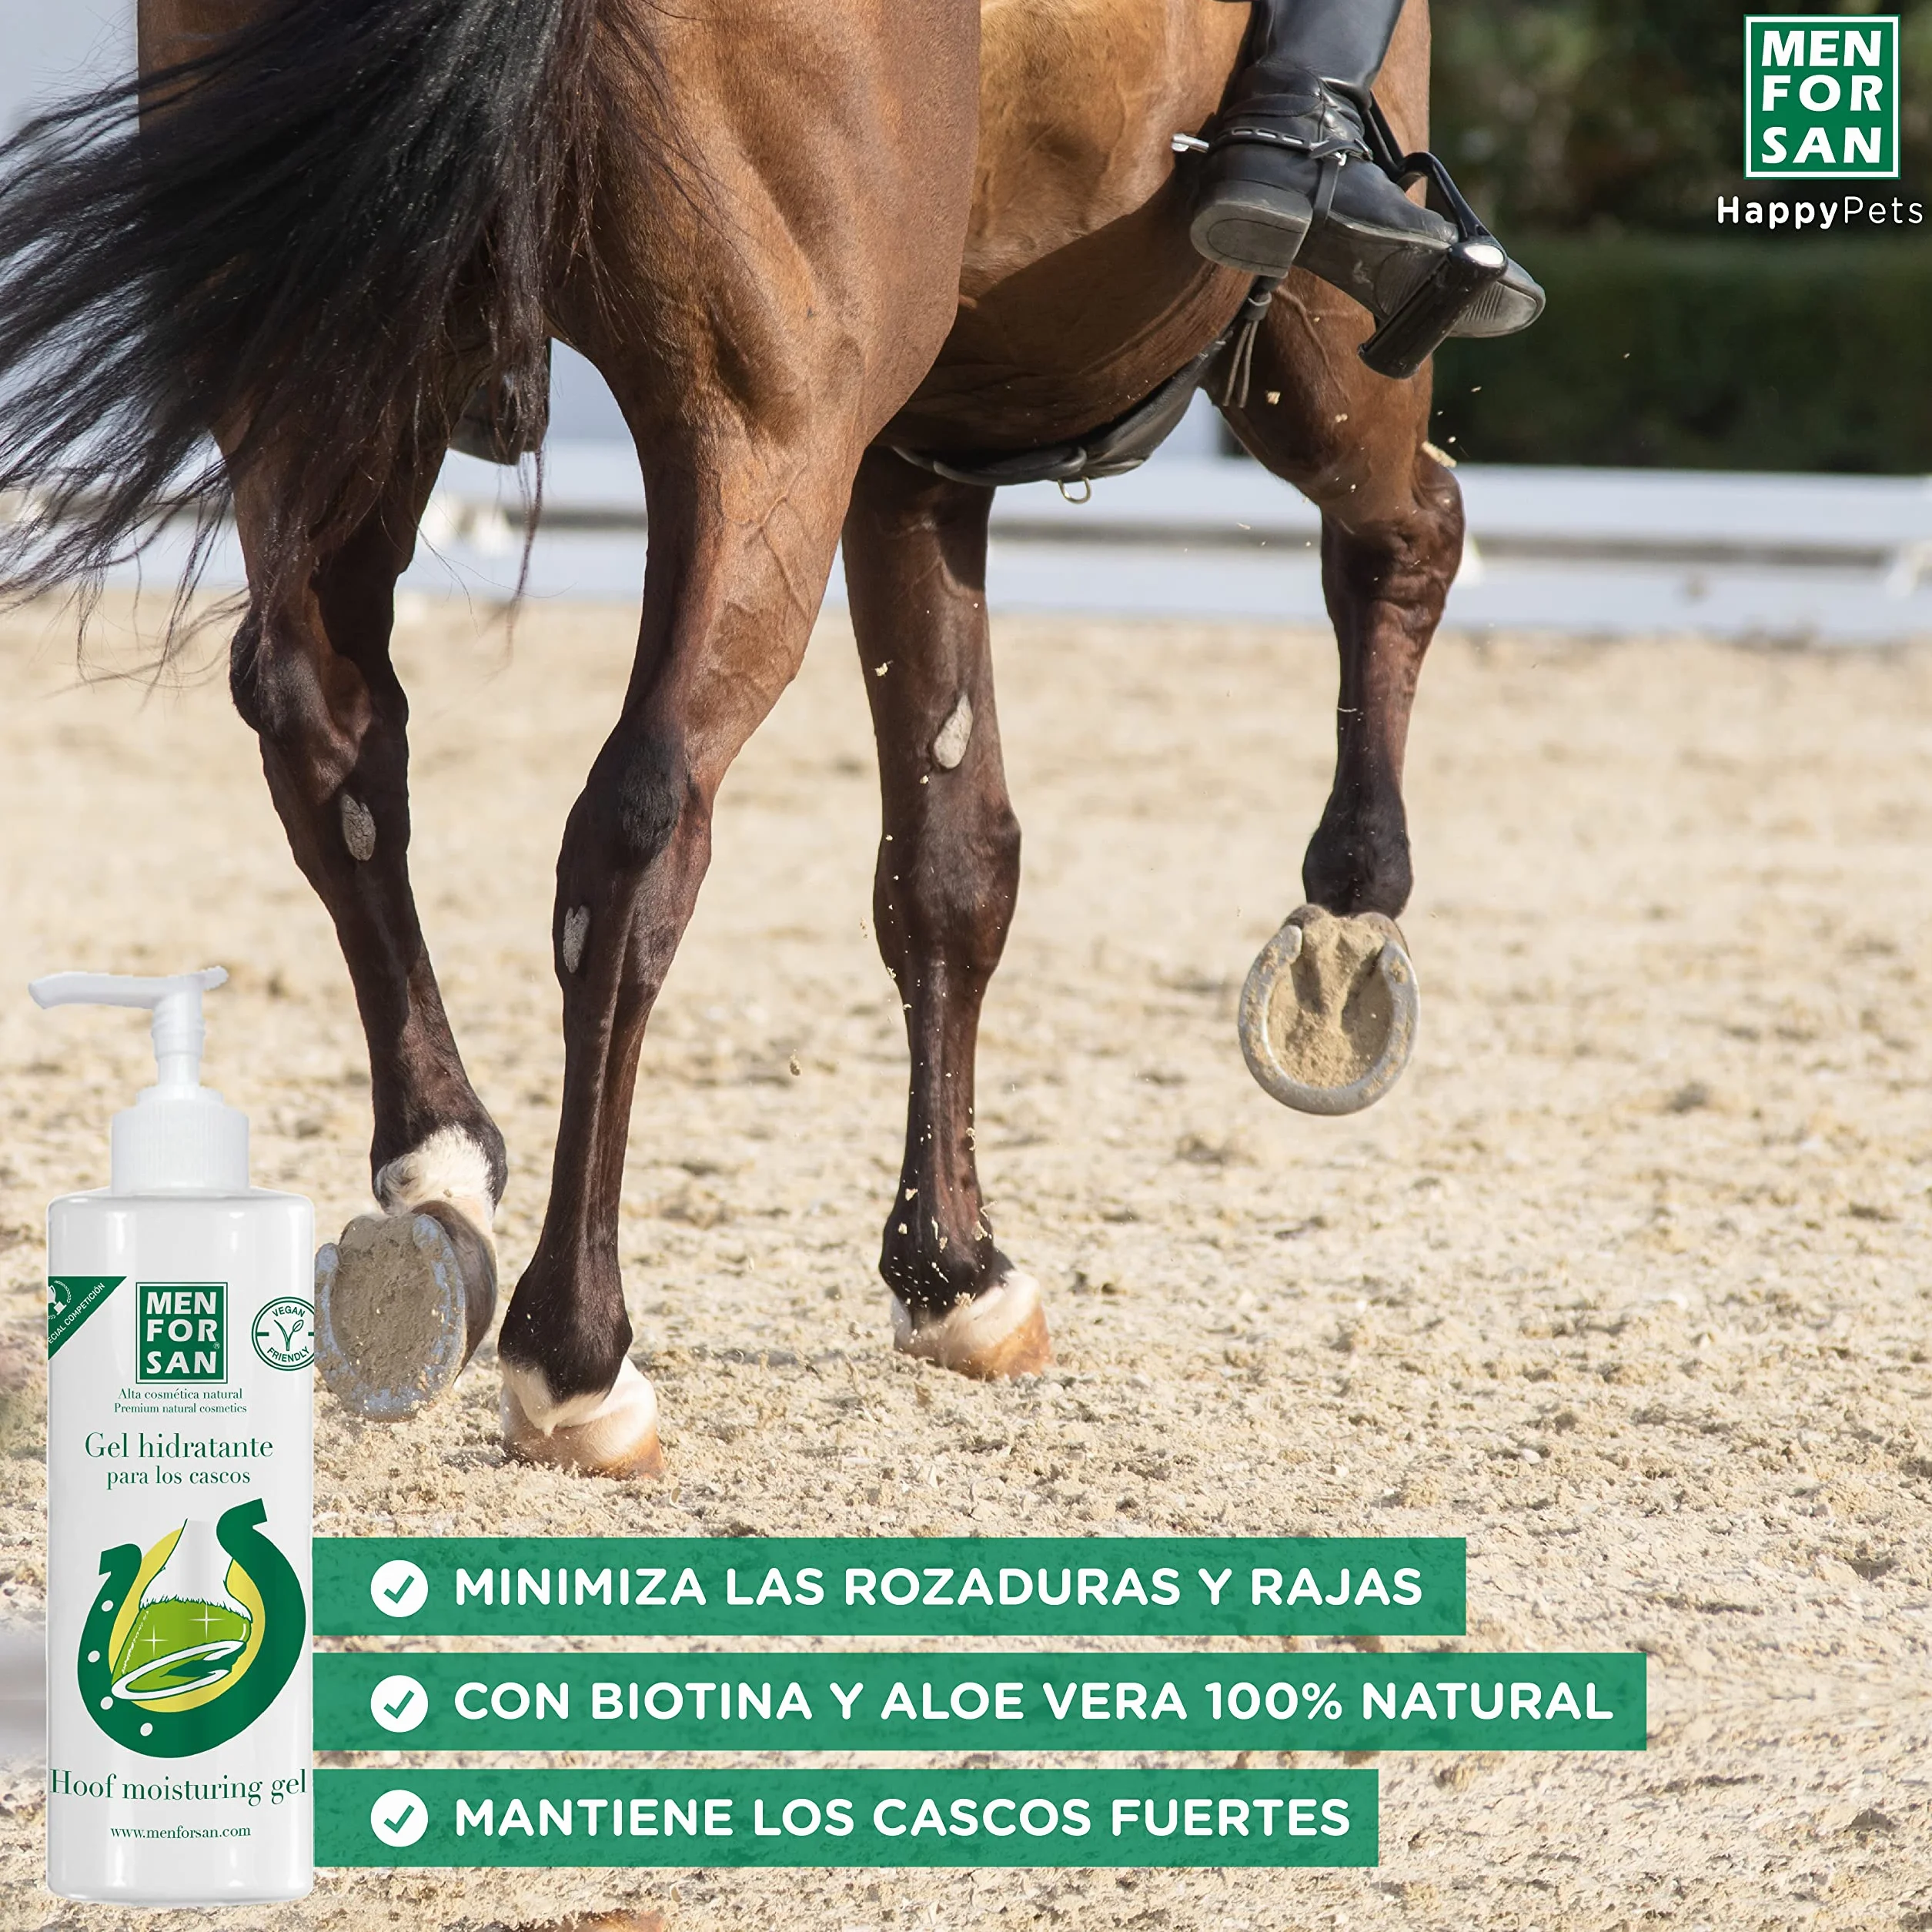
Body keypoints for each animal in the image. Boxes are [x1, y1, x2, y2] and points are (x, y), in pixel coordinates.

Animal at [0, 0, 1459, 1477]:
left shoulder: (917, 456)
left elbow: (948, 865)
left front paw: (952, 1270)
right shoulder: (1285, 344)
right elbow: (1411, 531)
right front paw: (1349, 915)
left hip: (334, 375)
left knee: (333, 740)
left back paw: (441, 1188)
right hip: (765, 431)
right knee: (636, 827)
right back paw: (575, 1352)